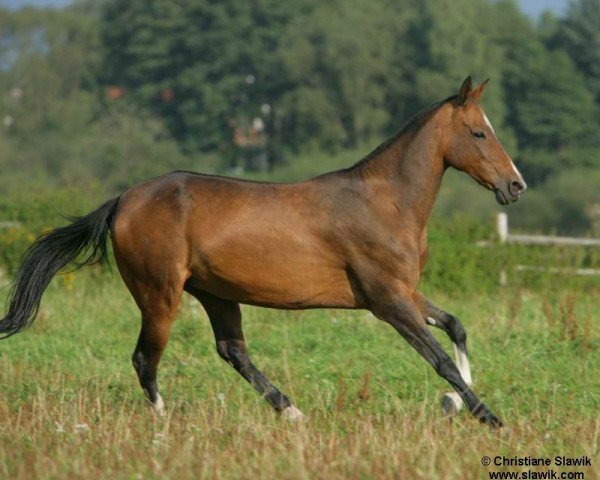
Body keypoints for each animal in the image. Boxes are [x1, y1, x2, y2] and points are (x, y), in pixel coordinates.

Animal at [0, 76, 524, 428]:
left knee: (232, 351)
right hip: (159, 295)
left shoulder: (404, 293)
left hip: (215, 294)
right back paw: (165, 425)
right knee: (145, 359)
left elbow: (456, 326)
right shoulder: (387, 301)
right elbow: (438, 358)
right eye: (479, 132)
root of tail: (122, 200)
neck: (385, 202)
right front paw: (486, 415)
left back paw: (291, 411)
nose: (515, 185)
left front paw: (457, 403)